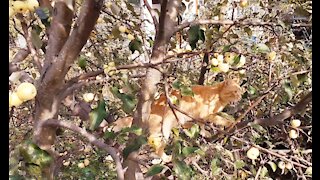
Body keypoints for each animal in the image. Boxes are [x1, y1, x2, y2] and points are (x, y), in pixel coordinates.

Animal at [112, 79, 242, 162]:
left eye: (240, 92)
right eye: (235, 91)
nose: (240, 96)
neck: (218, 95)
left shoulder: (202, 117)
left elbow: (202, 124)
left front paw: (204, 132)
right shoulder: (208, 114)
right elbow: (220, 119)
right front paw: (232, 123)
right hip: (166, 124)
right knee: (155, 142)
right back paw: (165, 157)